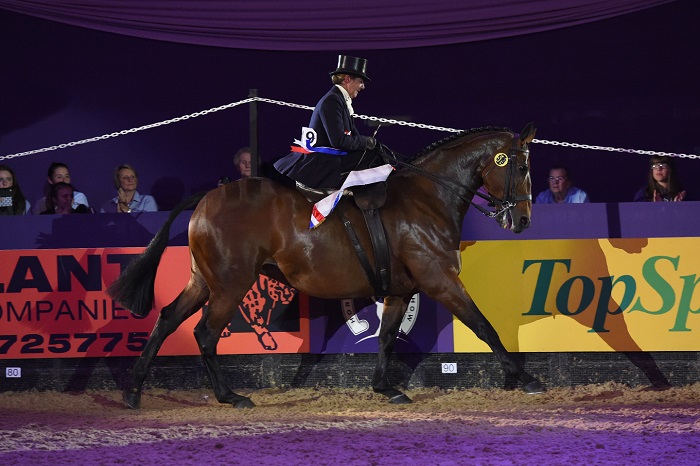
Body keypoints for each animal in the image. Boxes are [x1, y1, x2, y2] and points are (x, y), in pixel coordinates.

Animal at [108, 123, 542, 409]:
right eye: (521, 168)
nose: (522, 221)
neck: (428, 197)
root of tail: (206, 198)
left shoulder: (401, 290)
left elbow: (387, 338)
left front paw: (386, 389)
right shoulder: (441, 280)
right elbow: (484, 326)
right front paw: (525, 378)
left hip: (204, 282)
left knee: (167, 319)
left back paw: (134, 392)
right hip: (230, 287)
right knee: (204, 333)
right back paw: (230, 396)